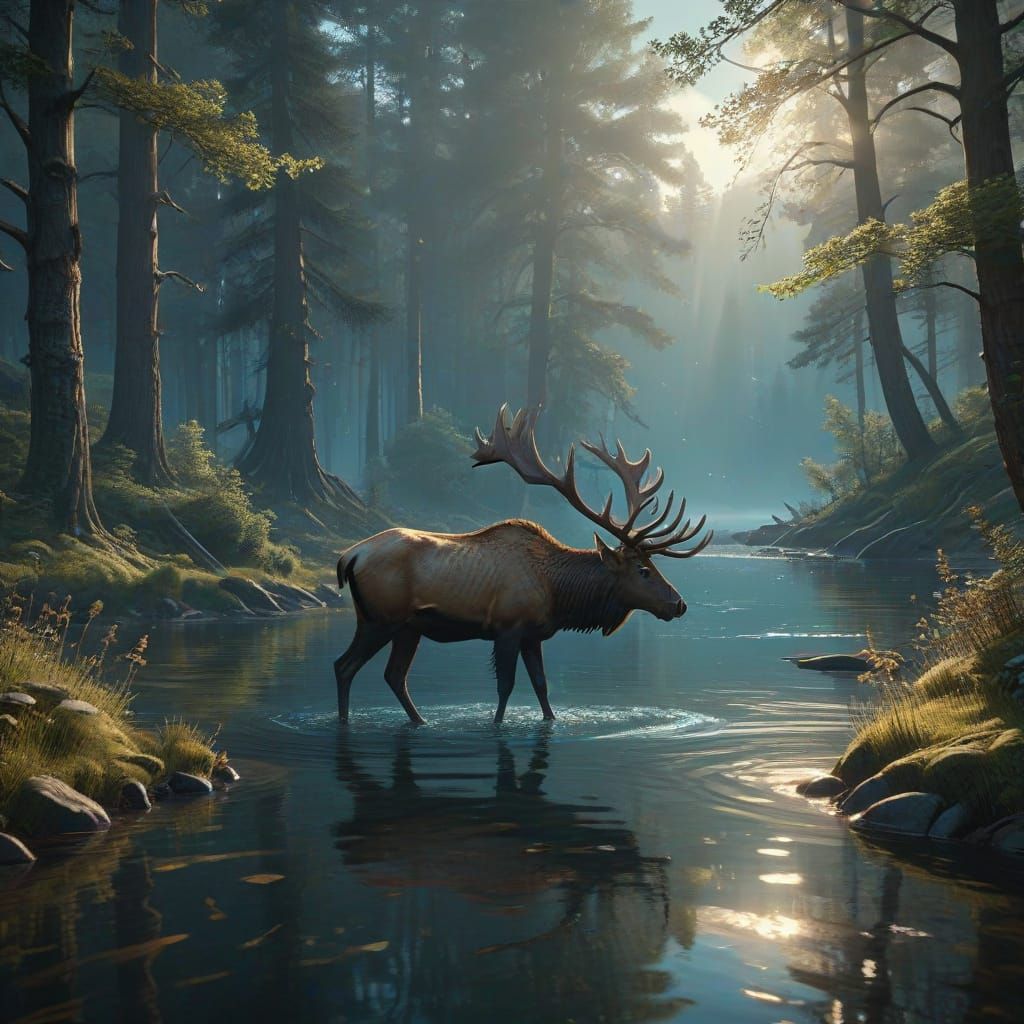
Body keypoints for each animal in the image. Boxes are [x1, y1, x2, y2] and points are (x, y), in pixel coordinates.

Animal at [334, 405, 712, 725]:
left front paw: (550, 720)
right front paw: (497, 723)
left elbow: (542, 686)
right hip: (380, 618)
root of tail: (348, 556)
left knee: (394, 675)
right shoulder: (508, 626)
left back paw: (419, 721)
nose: (678, 603)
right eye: (643, 571)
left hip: (407, 627)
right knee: (345, 666)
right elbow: (506, 687)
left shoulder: (534, 634)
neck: (559, 593)